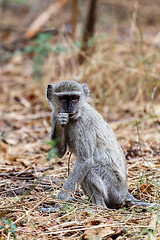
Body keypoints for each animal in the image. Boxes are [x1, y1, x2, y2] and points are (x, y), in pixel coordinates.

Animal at [46, 80, 156, 208]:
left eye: (74, 98)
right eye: (64, 98)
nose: (69, 108)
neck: (76, 116)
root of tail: (124, 193)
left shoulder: (85, 124)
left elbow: (85, 160)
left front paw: (60, 201)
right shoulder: (54, 114)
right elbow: (60, 152)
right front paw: (61, 121)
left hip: (114, 189)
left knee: (90, 168)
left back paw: (99, 206)